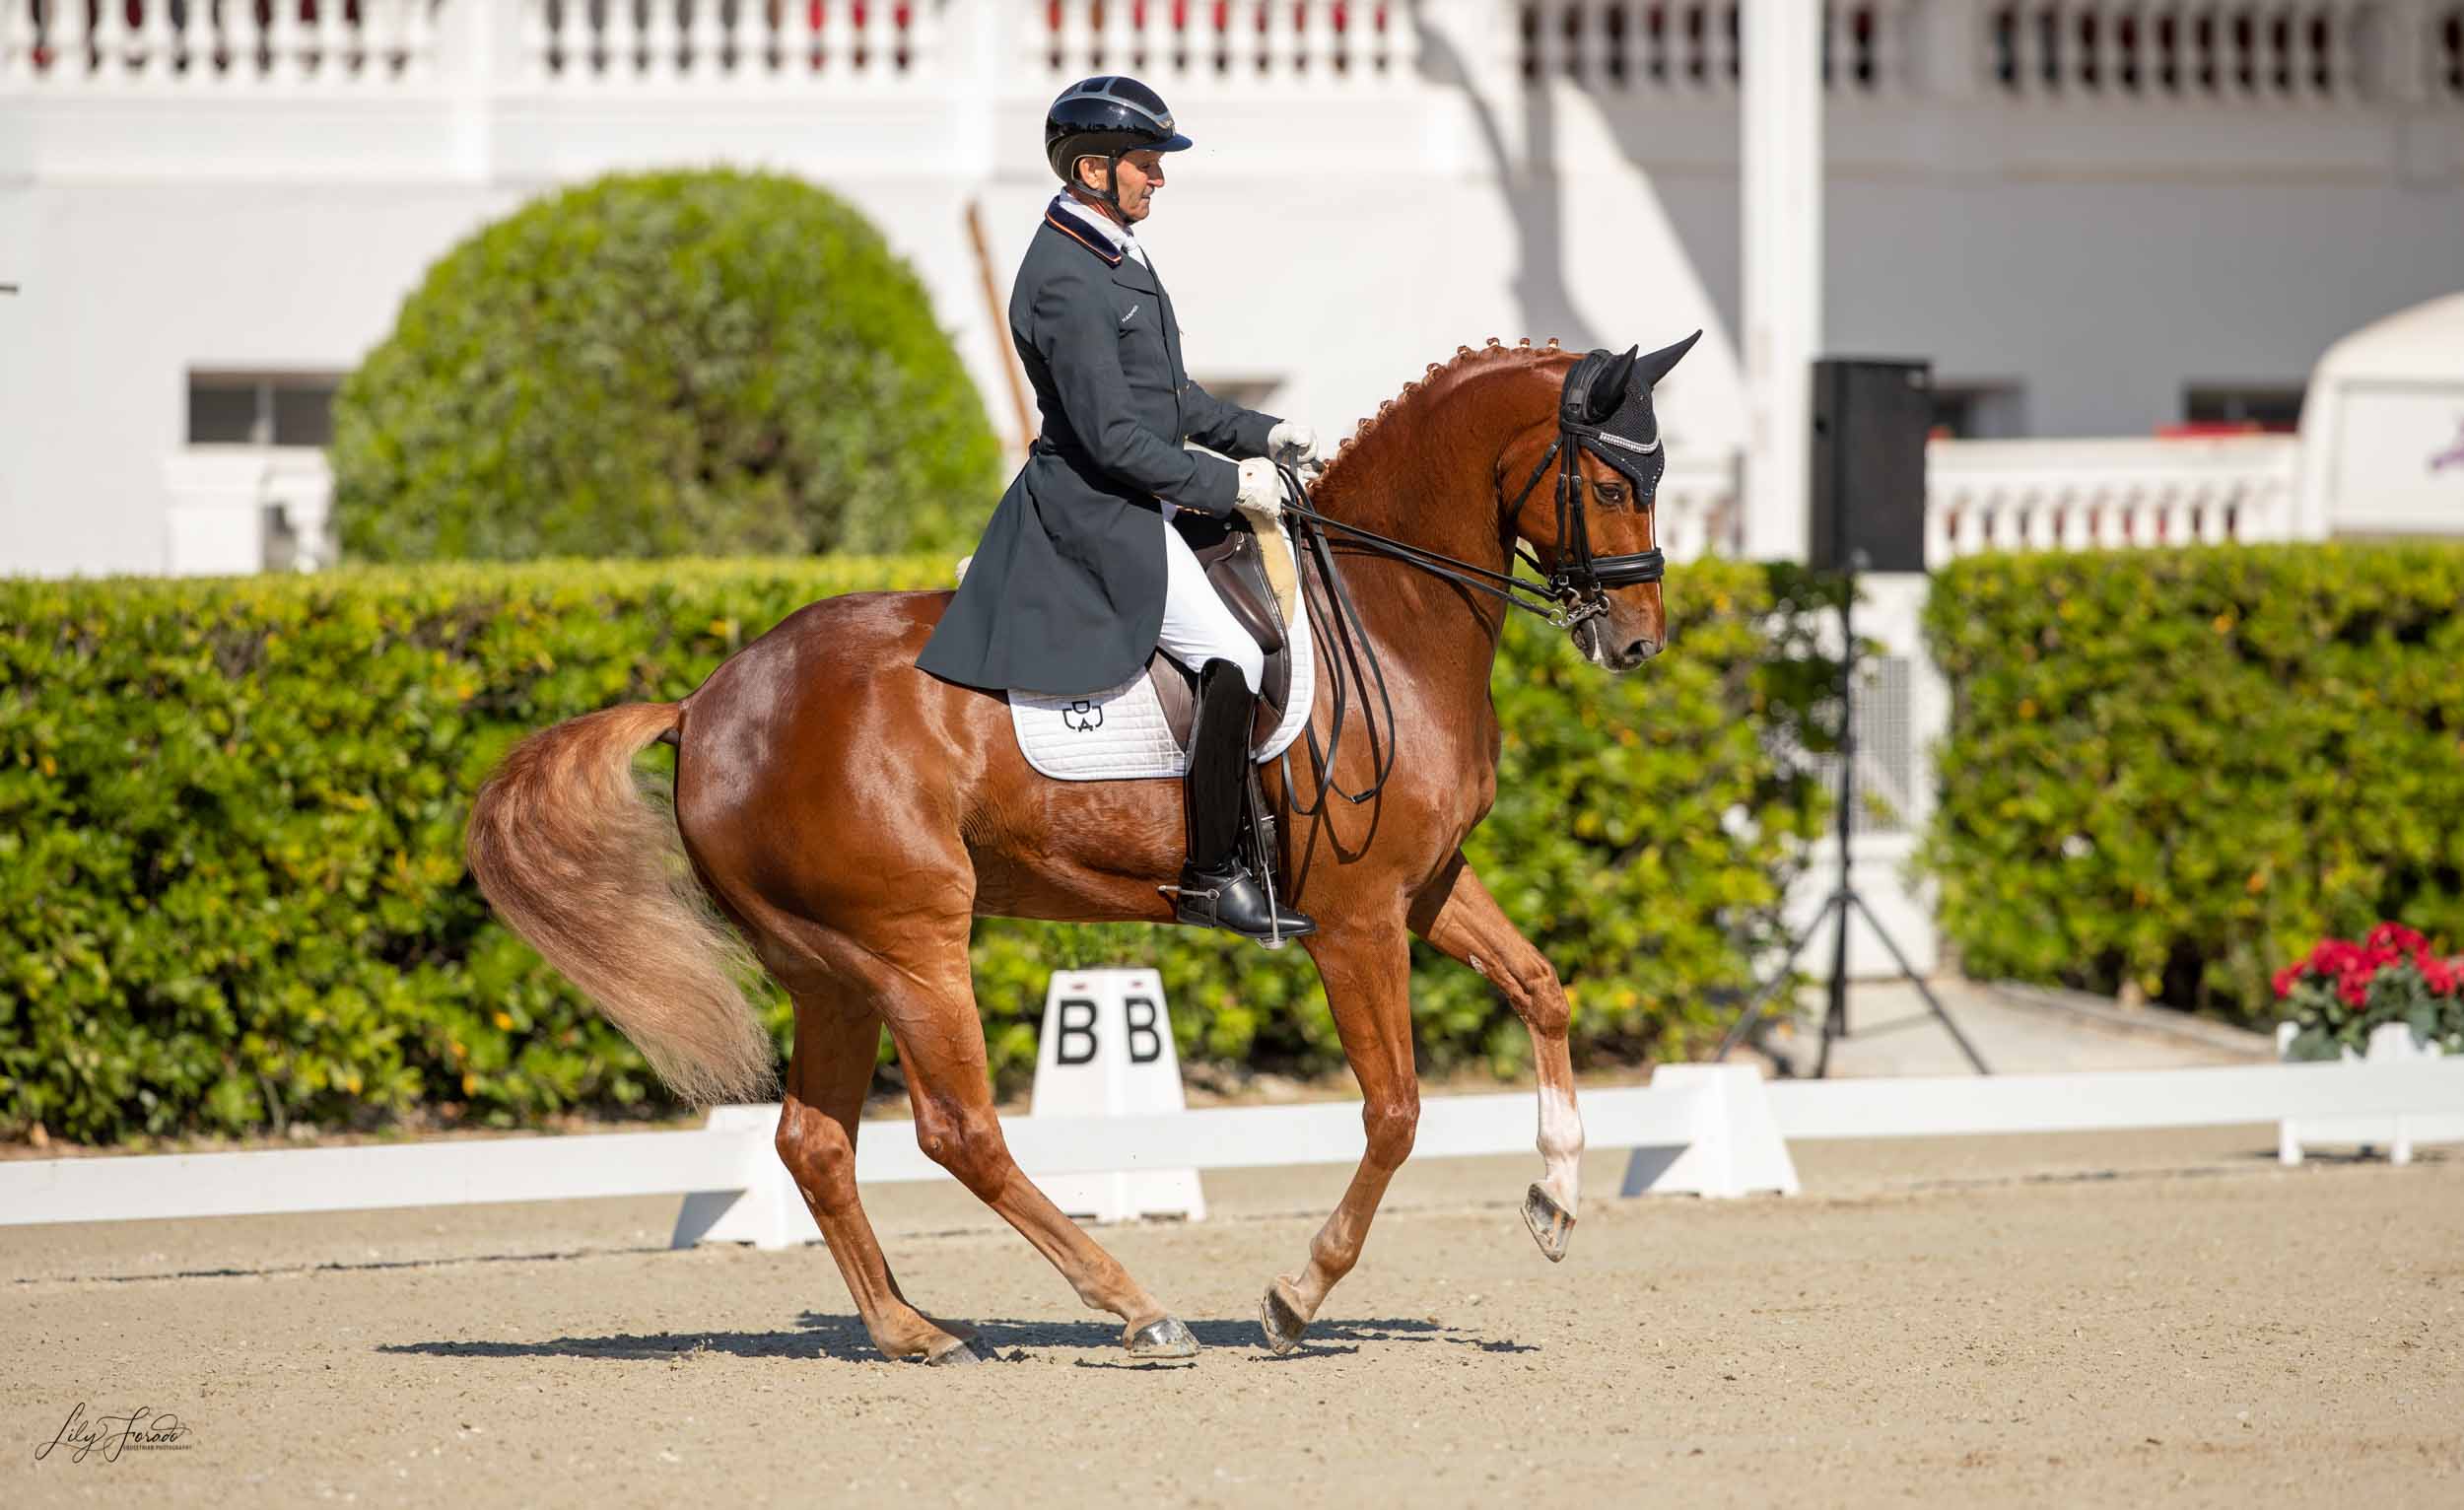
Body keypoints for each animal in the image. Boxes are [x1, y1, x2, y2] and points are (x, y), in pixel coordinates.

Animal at [463, 332, 1685, 1369]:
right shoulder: (1356, 916)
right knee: (959, 1130)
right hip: (910, 941)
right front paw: (1295, 1295)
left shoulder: (1424, 884)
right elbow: (1395, 1112)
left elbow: (1541, 987)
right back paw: (1134, 1307)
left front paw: (1555, 1199)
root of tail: (705, 703)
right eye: (1611, 485)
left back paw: (913, 1329)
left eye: (1656, 477)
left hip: (829, 966)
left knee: (815, 1140)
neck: (1385, 617)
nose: (1634, 643)